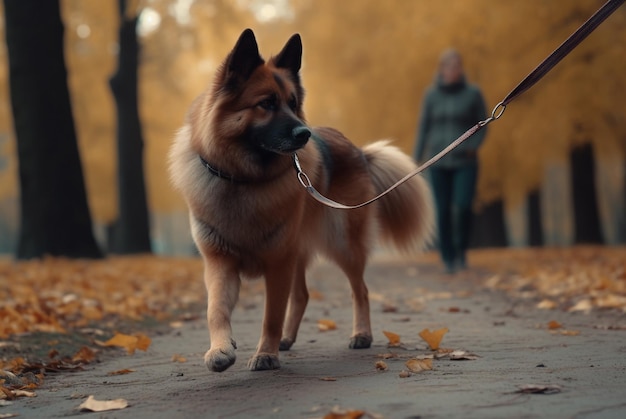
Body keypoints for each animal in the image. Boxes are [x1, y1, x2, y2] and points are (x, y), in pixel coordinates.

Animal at [168, 27, 432, 372]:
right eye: (266, 103)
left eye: (293, 104)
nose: (304, 134)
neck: (244, 181)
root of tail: (359, 151)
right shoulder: (220, 262)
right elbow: (216, 310)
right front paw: (221, 349)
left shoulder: (278, 261)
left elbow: (271, 315)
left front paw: (265, 354)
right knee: (303, 295)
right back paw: (287, 339)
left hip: (341, 244)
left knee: (359, 289)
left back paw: (361, 334)